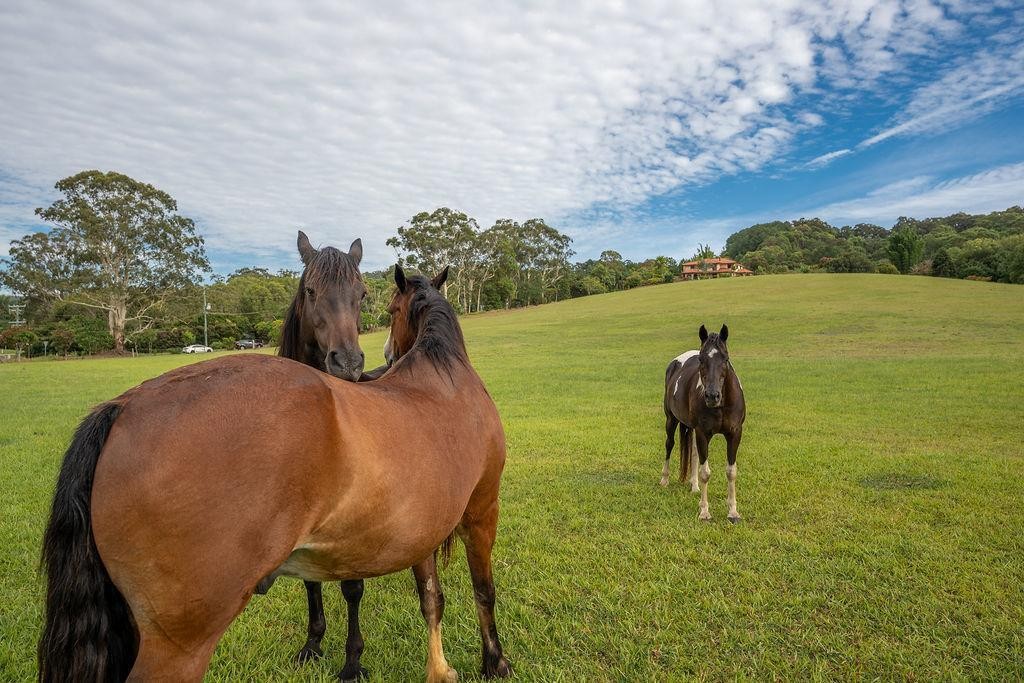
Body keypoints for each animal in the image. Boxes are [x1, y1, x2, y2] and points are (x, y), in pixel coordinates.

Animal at [38, 265, 513, 682]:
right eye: (393, 309)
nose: (383, 357)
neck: (443, 375)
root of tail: (123, 407)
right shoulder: (481, 512)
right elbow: (483, 590)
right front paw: (495, 662)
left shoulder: (425, 531)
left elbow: (432, 599)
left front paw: (440, 669)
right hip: (179, 646)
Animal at [661, 324, 746, 522]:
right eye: (701, 359)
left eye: (725, 358)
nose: (712, 396)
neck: (721, 405)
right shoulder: (703, 433)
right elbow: (705, 473)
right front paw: (705, 512)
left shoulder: (734, 434)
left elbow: (731, 472)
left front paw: (733, 512)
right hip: (671, 419)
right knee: (669, 445)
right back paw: (665, 479)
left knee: (692, 453)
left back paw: (694, 486)